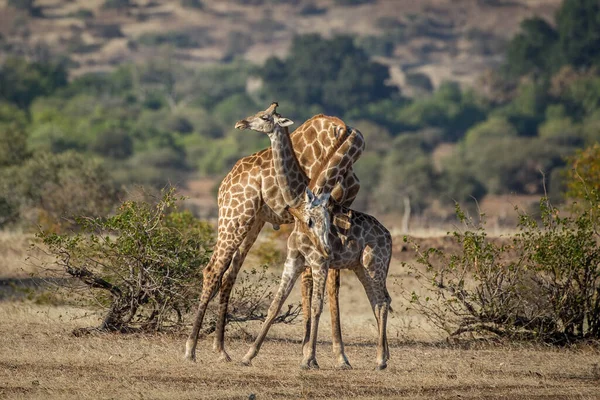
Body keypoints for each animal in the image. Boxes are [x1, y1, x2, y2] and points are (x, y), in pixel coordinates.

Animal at [185, 102, 366, 366]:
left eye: (264, 116)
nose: (241, 122)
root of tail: (224, 185)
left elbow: (329, 283)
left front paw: (336, 355)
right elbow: (310, 282)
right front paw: (310, 353)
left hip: (254, 222)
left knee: (229, 274)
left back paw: (221, 350)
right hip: (234, 216)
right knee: (213, 269)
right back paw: (191, 349)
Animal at [239, 111, 394, 370]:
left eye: (265, 117)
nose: (242, 123)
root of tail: (389, 237)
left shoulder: (318, 261)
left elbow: (316, 305)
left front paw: (309, 358)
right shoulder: (295, 259)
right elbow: (276, 303)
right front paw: (248, 355)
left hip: (374, 264)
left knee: (381, 302)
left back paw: (380, 360)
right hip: (361, 267)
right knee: (378, 301)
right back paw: (382, 357)